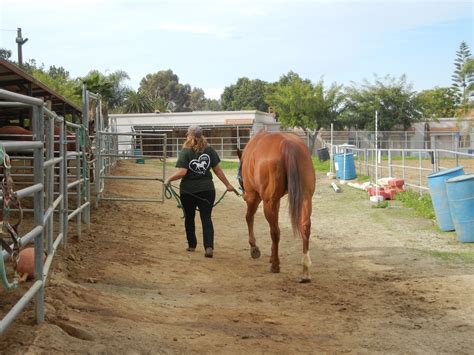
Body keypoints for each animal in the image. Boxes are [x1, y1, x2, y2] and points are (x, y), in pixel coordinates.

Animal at [236, 131, 314, 284]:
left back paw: (276, 266)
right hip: (305, 197)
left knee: (275, 232)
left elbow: (249, 217)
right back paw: (305, 270)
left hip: (266, 202)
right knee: (305, 227)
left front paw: (254, 248)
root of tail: (287, 144)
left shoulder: (253, 196)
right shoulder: (275, 201)